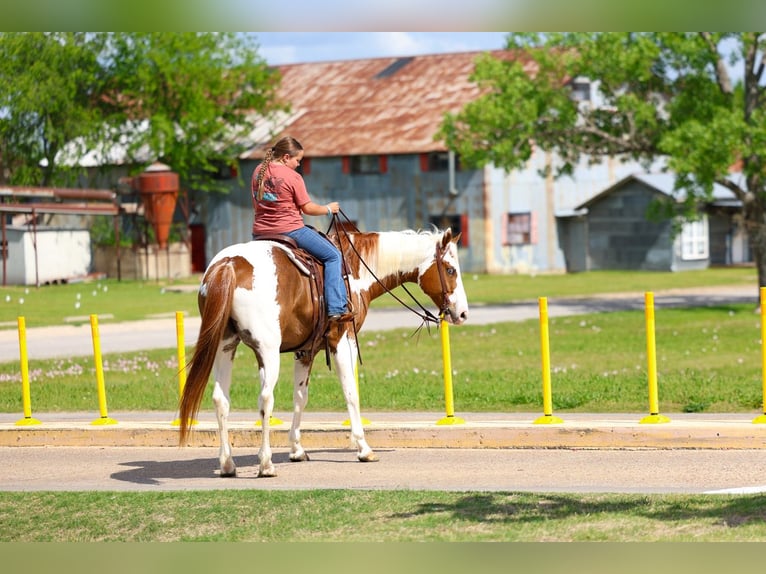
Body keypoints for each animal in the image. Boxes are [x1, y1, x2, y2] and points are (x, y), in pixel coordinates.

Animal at [177, 227, 469, 478]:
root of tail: (229, 264)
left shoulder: (305, 351)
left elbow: (300, 397)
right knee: (265, 400)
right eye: (450, 269)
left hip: (225, 346)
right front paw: (363, 448)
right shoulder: (343, 340)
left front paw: (297, 449)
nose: (463, 313)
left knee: (221, 399)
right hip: (267, 351)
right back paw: (266, 464)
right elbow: (351, 393)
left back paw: (227, 464)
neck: (354, 268)